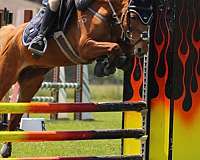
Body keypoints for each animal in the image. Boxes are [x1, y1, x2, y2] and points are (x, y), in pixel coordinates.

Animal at [0, 0, 150, 158]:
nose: (142, 49)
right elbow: (115, 47)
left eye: (149, 18)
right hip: (7, 76)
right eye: (133, 16)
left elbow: (122, 49)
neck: (106, 13)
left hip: (31, 81)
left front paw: (111, 64)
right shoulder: (85, 47)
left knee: (15, 115)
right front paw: (108, 65)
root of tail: (9, 34)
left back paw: (6, 149)